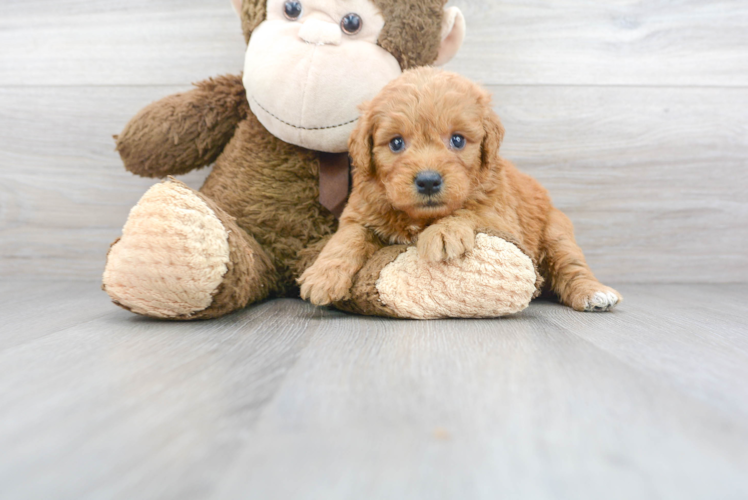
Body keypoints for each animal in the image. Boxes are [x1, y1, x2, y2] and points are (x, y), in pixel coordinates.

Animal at [300, 67, 624, 312]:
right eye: (396, 143)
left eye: (457, 140)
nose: (428, 180)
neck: (420, 218)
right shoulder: (360, 213)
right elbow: (347, 238)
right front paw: (322, 276)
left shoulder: (501, 217)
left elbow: (470, 212)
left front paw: (444, 233)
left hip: (557, 232)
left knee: (572, 267)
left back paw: (594, 294)